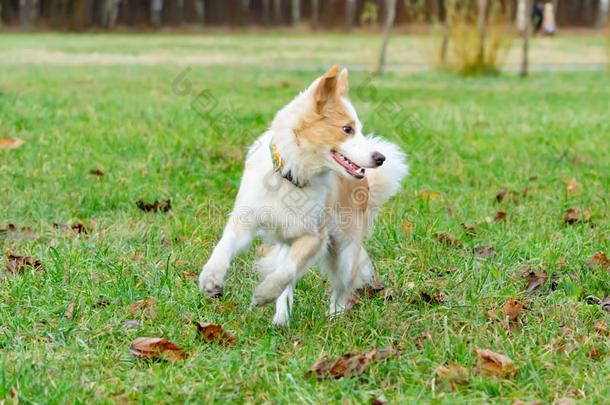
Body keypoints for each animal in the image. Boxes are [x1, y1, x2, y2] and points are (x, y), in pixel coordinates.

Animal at [200, 65, 406, 326]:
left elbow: (287, 272)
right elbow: (224, 245)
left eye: (358, 130)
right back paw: (281, 319)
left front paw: (264, 294)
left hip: (346, 250)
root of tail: (367, 183)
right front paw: (211, 277)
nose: (380, 158)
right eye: (347, 129)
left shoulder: (314, 236)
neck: (291, 175)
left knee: (340, 286)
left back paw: (334, 317)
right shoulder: (245, 220)